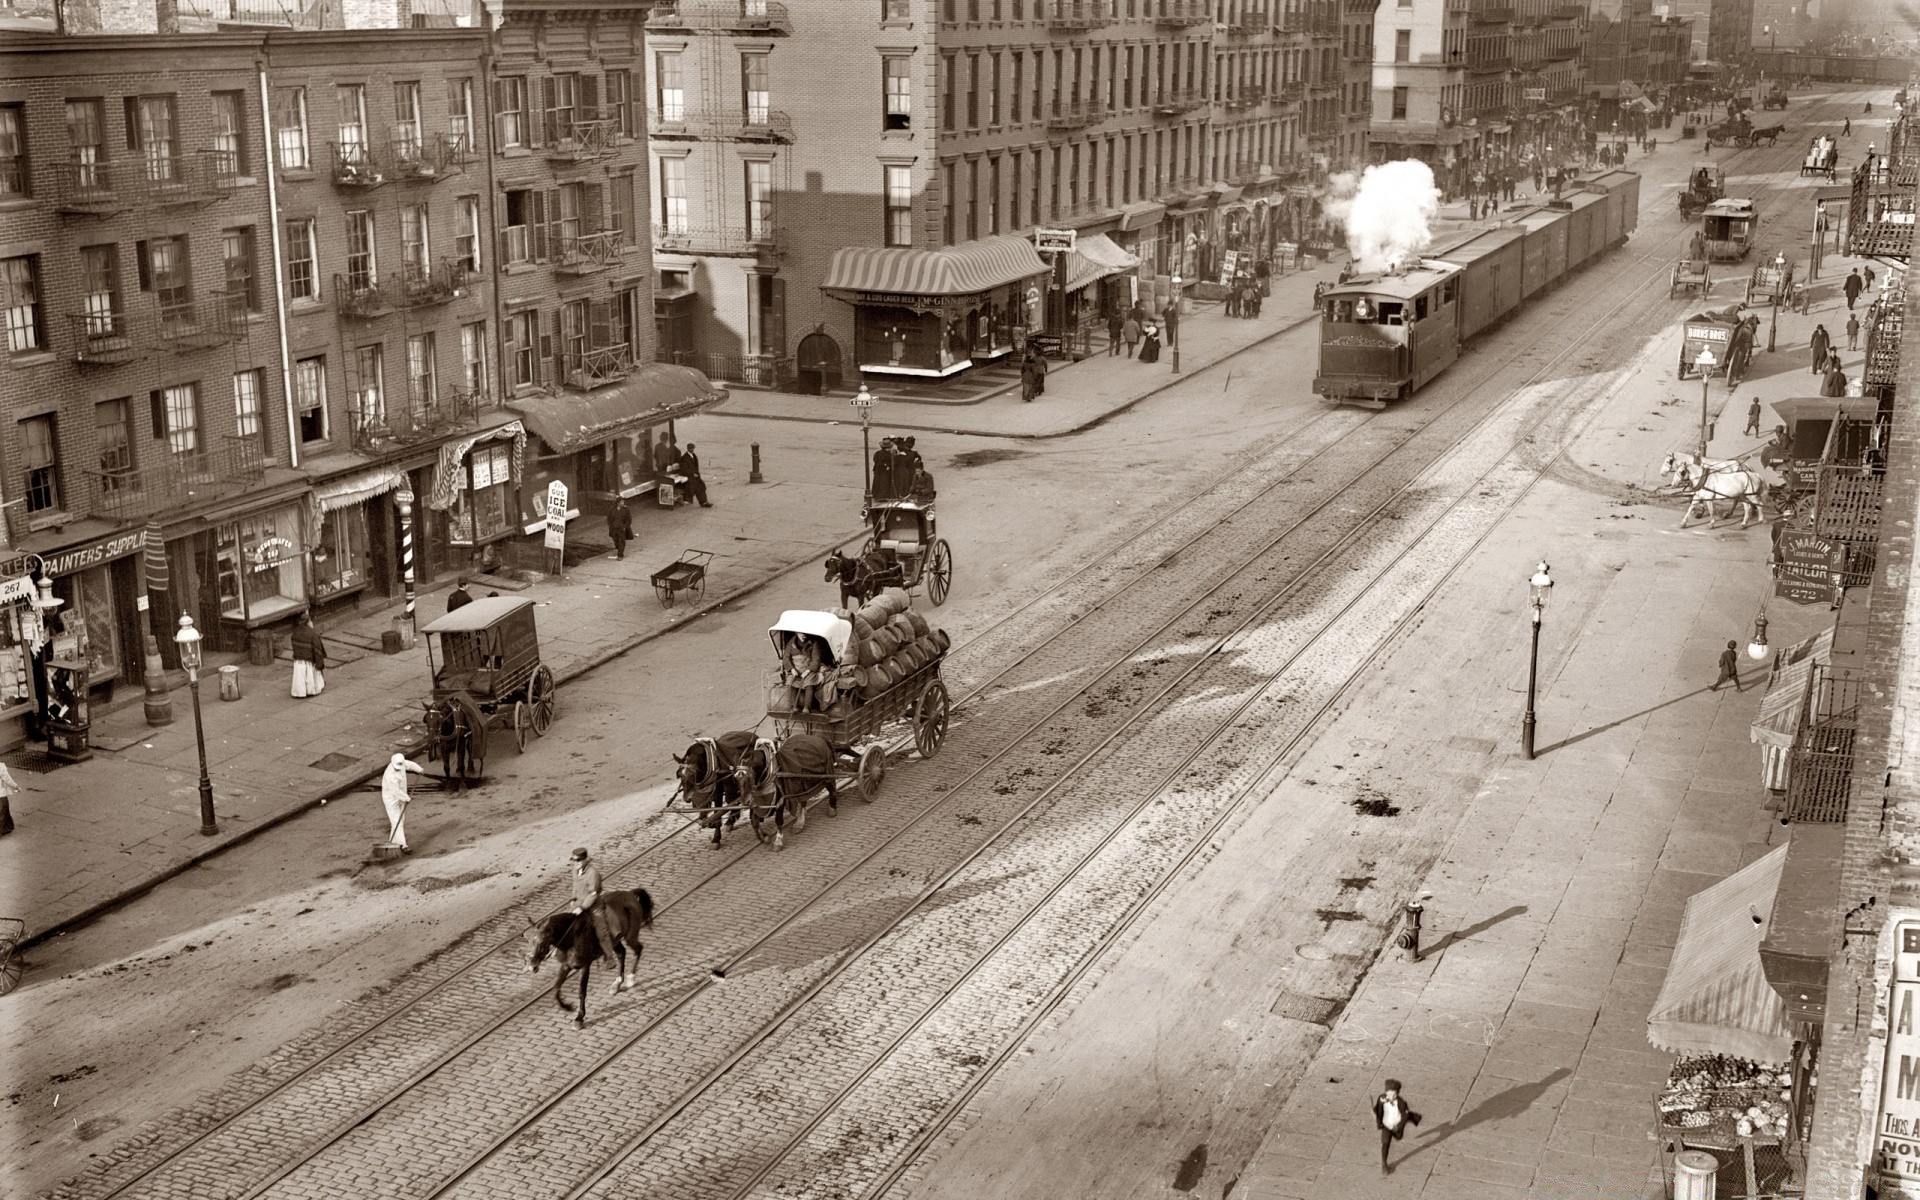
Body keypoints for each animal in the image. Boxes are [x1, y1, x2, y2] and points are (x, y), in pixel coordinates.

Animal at [529, 883, 656, 1021]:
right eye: (530, 941)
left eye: (542, 943)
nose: (532, 966)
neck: (571, 937)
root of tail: (630, 893)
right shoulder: (566, 965)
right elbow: (556, 988)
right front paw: (567, 1007)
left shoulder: (585, 965)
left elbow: (581, 991)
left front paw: (579, 1017)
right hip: (615, 941)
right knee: (621, 953)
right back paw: (616, 984)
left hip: (630, 935)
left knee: (638, 949)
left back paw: (631, 978)